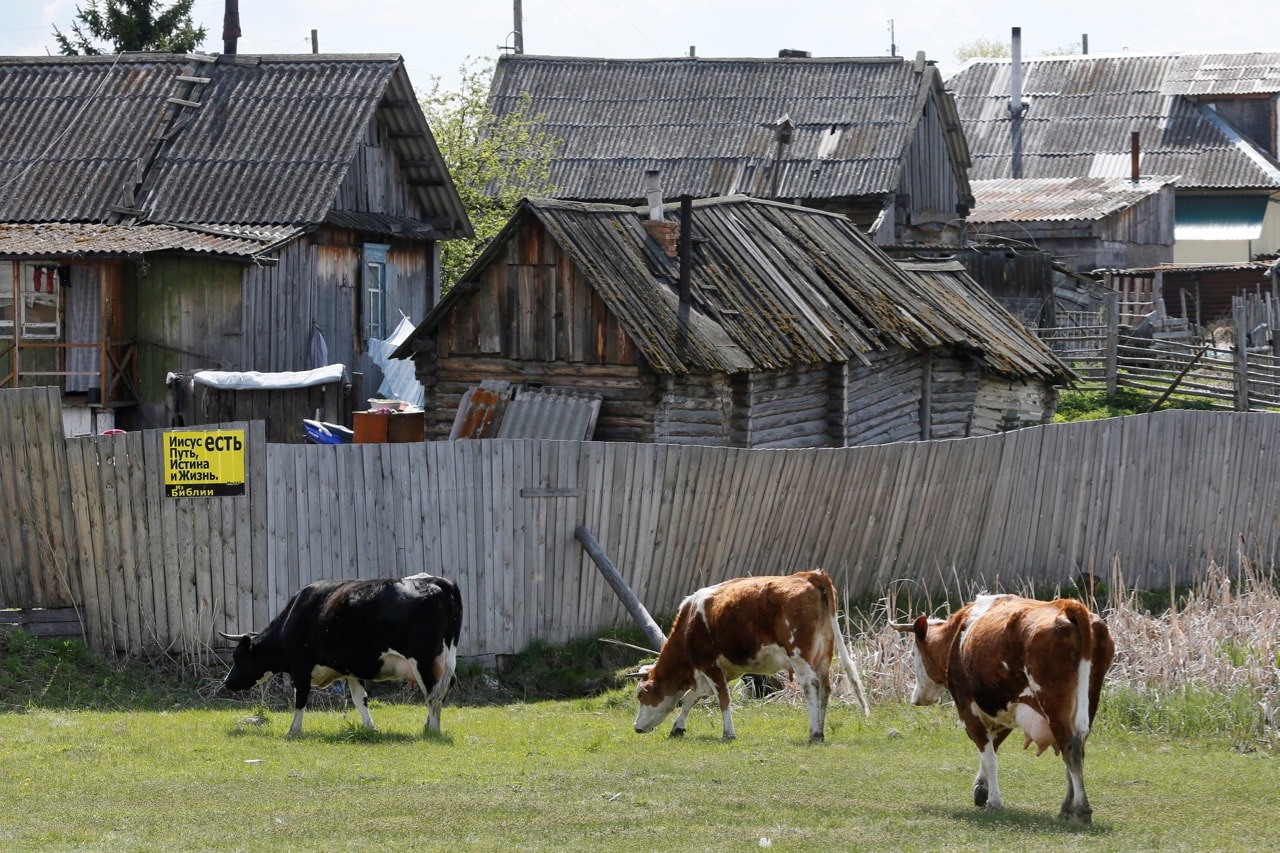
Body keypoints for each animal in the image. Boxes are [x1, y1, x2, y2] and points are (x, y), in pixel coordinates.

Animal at [220, 568, 460, 732]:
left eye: (237, 657)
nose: (226, 682)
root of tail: (435, 580)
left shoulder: (301, 667)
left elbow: (300, 698)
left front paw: (293, 730)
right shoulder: (351, 670)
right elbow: (360, 699)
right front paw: (370, 727)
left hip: (423, 660)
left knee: (433, 693)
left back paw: (433, 729)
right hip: (446, 660)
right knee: (442, 689)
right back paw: (428, 725)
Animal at [632, 568, 870, 742]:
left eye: (641, 695)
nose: (636, 728)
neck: (690, 622)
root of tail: (810, 574)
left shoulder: (709, 664)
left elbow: (722, 699)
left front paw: (728, 733)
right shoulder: (725, 670)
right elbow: (691, 697)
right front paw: (678, 728)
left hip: (799, 654)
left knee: (811, 685)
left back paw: (813, 733)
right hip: (824, 653)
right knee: (825, 688)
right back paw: (820, 731)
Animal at [896, 591, 1116, 819]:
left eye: (913, 654)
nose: (915, 697)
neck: (956, 637)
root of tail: (1069, 606)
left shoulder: (969, 712)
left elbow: (989, 757)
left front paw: (993, 800)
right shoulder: (1003, 711)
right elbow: (991, 748)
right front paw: (981, 789)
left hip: (1054, 703)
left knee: (1070, 746)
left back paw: (1079, 808)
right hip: (1089, 700)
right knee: (1076, 747)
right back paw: (1068, 807)